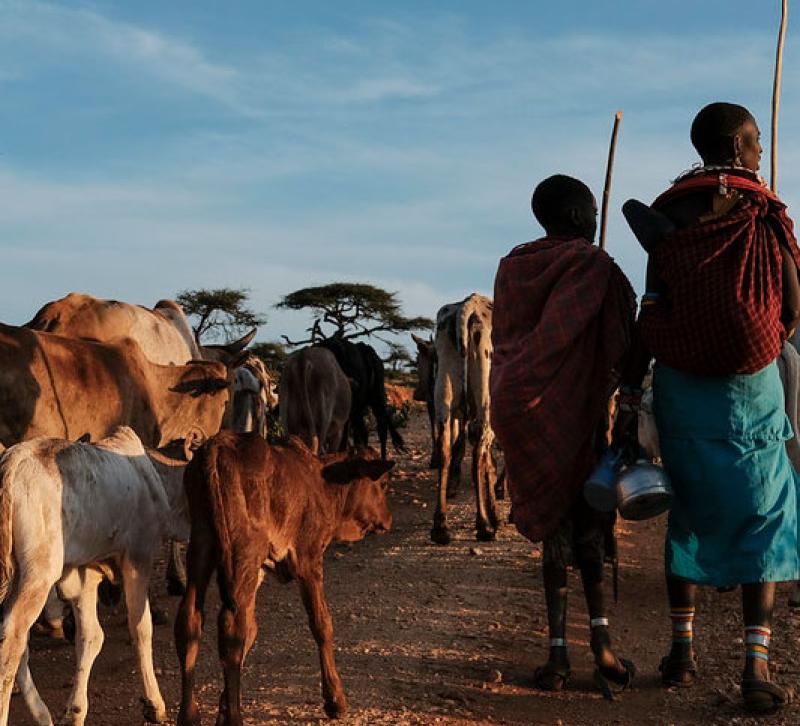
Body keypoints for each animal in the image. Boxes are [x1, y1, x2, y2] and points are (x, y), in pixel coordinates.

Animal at [0, 426, 193, 726]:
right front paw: (154, 703)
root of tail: (11, 463)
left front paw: (76, 711)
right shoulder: (138, 558)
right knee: (12, 641)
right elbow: (141, 627)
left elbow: (91, 636)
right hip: (36, 577)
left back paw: (43, 714)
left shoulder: (84, 574)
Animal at [177, 436, 396, 724]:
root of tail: (216, 447)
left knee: (191, 620)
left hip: (202, 545)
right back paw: (235, 717)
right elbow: (321, 624)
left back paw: (189, 715)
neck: (323, 483)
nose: (388, 519)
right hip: (243, 552)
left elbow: (252, 629)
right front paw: (335, 700)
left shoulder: (261, 568)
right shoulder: (308, 558)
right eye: (382, 483)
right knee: (231, 630)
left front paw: (222, 708)